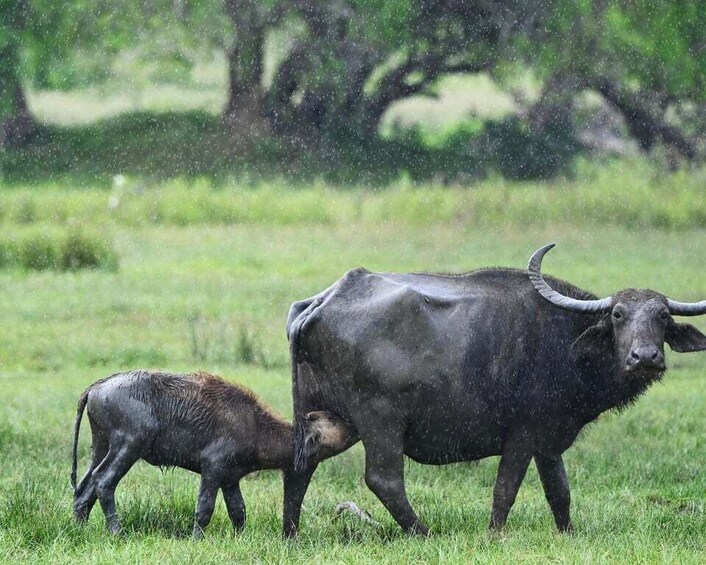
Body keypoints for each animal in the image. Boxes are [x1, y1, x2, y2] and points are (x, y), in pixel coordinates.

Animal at [71, 370, 355, 537]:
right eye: (330, 418)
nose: (351, 423)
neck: (255, 427)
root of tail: (95, 388)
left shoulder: (230, 479)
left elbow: (238, 512)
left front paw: (240, 538)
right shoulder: (212, 470)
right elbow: (204, 509)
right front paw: (196, 539)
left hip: (101, 445)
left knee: (84, 488)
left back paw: (80, 529)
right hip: (129, 445)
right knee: (103, 481)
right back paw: (117, 532)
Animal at [282, 243, 706, 537]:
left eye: (663, 316)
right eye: (618, 315)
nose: (645, 356)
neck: (566, 342)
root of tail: (321, 303)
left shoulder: (550, 440)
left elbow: (559, 491)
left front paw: (567, 532)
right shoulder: (522, 433)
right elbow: (506, 487)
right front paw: (495, 532)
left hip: (318, 416)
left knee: (300, 466)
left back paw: (291, 533)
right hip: (380, 421)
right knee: (383, 478)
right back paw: (422, 532)